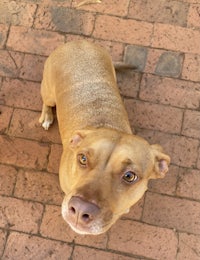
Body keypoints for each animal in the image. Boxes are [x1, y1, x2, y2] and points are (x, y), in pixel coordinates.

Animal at [39, 39, 170, 235]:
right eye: (82, 159)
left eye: (129, 176)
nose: (81, 210)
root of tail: (77, 42)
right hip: (48, 92)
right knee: (46, 102)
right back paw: (47, 116)